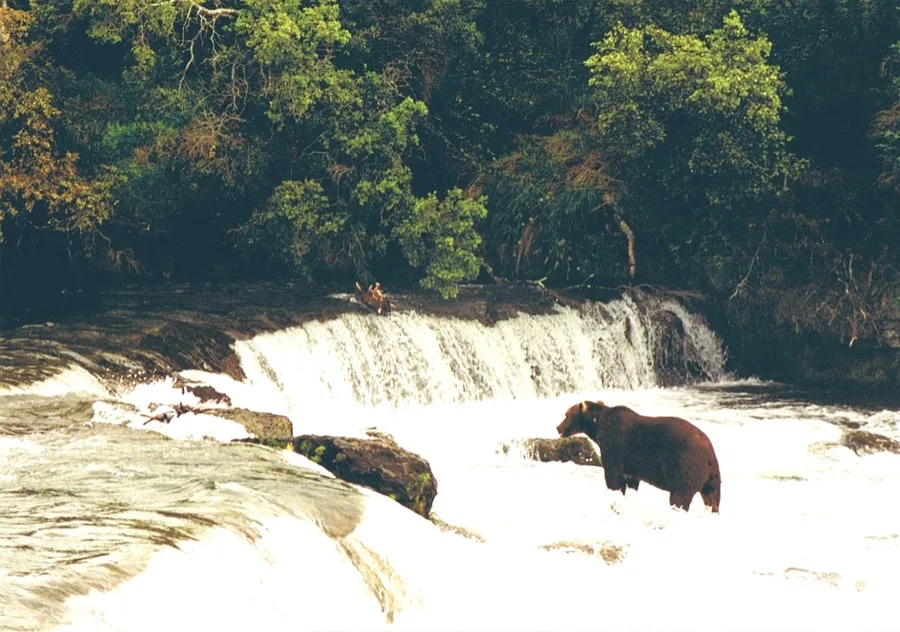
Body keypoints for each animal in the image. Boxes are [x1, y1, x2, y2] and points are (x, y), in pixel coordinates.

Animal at [557, 400, 721, 513]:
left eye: (566, 414)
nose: (558, 427)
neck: (598, 427)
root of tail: (709, 454)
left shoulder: (615, 444)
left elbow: (613, 477)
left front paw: (614, 500)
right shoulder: (631, 463)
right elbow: (631, 480)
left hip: (684, 464)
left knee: (680, 496)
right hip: (712, 476)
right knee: (712, 498)